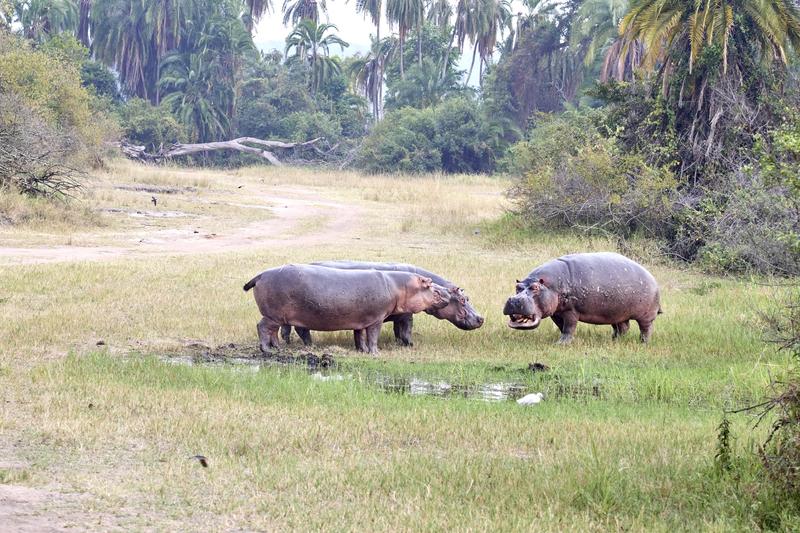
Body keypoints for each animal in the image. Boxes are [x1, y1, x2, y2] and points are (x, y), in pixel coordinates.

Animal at [241, 262, 454, 354]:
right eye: (430, 286)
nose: (449, 292)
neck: (399, 286)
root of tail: (260, 275)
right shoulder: (376, 319)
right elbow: (373, 337)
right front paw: (375, 353)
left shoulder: (361, 320)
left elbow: (359, 336)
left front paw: (362, 351)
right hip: (273, 315)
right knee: (262, 327)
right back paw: (266, 350)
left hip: (278, 317)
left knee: (273, 332)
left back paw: (277, 349)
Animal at [282, 260, 482, 344]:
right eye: (463, 299)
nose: (481, 318)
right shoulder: (406, 315)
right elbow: (406, 329)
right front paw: (410, 345)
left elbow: (398, 330)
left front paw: (399, 343)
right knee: (301, 329)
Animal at [500, 251, 664, 342]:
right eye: (517, 287)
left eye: (535, 288)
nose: (514, 299)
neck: (550, 284)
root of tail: (652, 276)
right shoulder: (556, 312)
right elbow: (561, 327)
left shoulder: (571, 311)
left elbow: (569, 327)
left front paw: (561, 343)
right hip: (616, 313)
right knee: (623, 327)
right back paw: (614, 340)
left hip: (646, 315)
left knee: (646, 329)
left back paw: (643, 343)